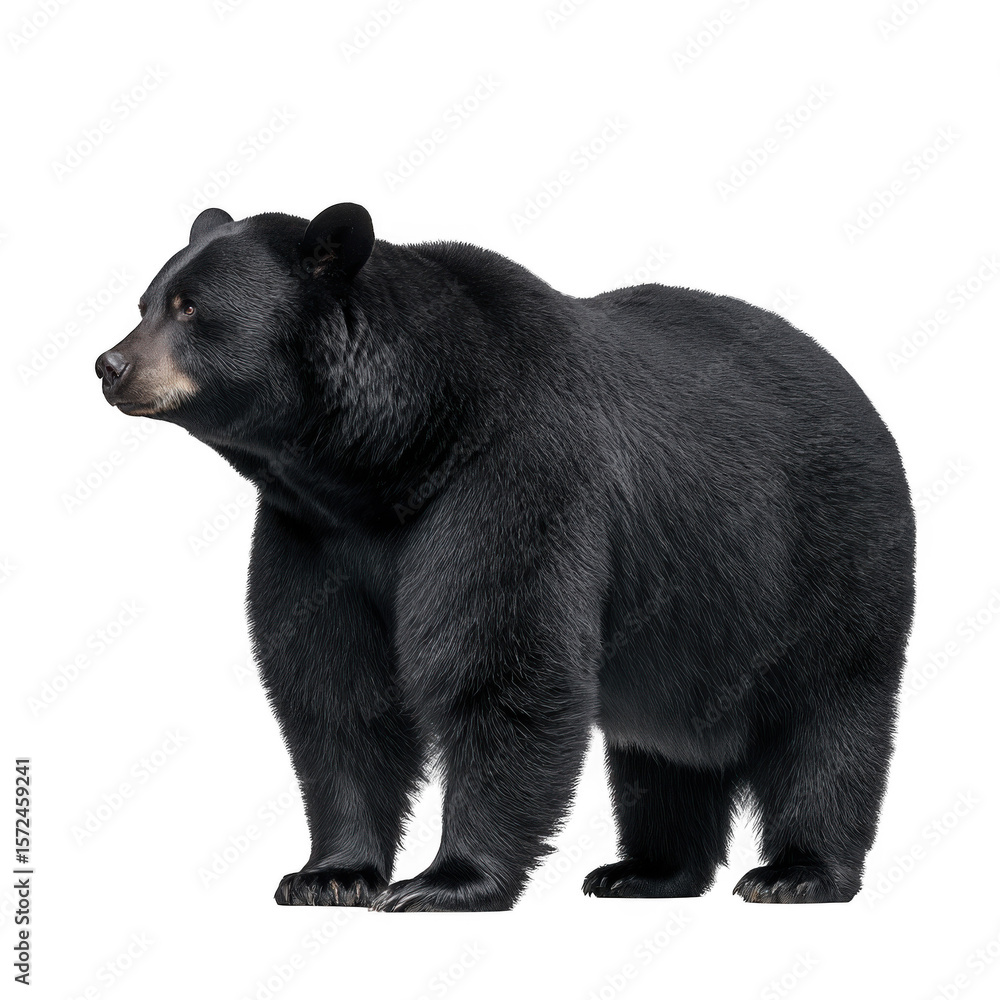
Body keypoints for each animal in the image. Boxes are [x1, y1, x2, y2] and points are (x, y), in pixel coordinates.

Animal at [96, 203, 915, 911]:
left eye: (190, 308)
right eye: (146, 300)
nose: (110, 365)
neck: (394, 455)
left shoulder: (515, 474)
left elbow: (501, 665)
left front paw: (444, 881)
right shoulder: (314, 533)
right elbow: (335, 687)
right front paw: (327, 874)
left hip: (824, 557)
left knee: (830, 713)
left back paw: (797, 872)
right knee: (661, 753)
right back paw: (645, 870)